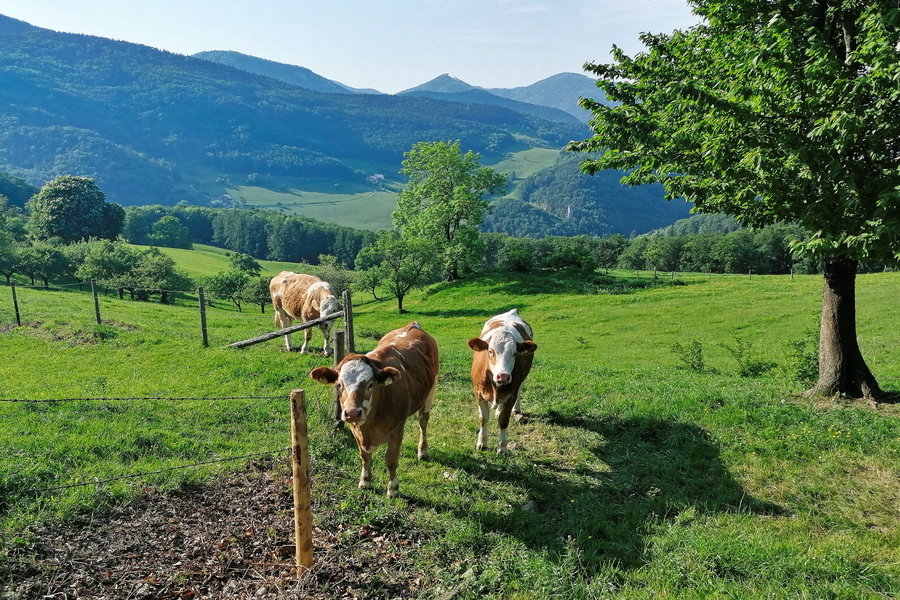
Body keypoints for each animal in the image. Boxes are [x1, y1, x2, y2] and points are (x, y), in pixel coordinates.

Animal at [310, 322, 439, 497]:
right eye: (339, 384)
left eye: (371, 384)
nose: (352, 413)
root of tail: (413, 325)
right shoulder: (355, 429)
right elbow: (364, 456)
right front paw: (365, 481)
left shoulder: (397, 430)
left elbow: (391, 460)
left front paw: (393, 488)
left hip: (430, 391)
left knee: (423, 421)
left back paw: (423, 451)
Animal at [467, 309, 537, 453]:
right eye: (490, 351)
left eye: (514, 353)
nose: (503, 376)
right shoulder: (478, 393)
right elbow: (483, 418)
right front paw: (482, 443)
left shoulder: (510, 395)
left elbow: (504, 420)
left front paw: (502, 447)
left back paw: (516, 410)